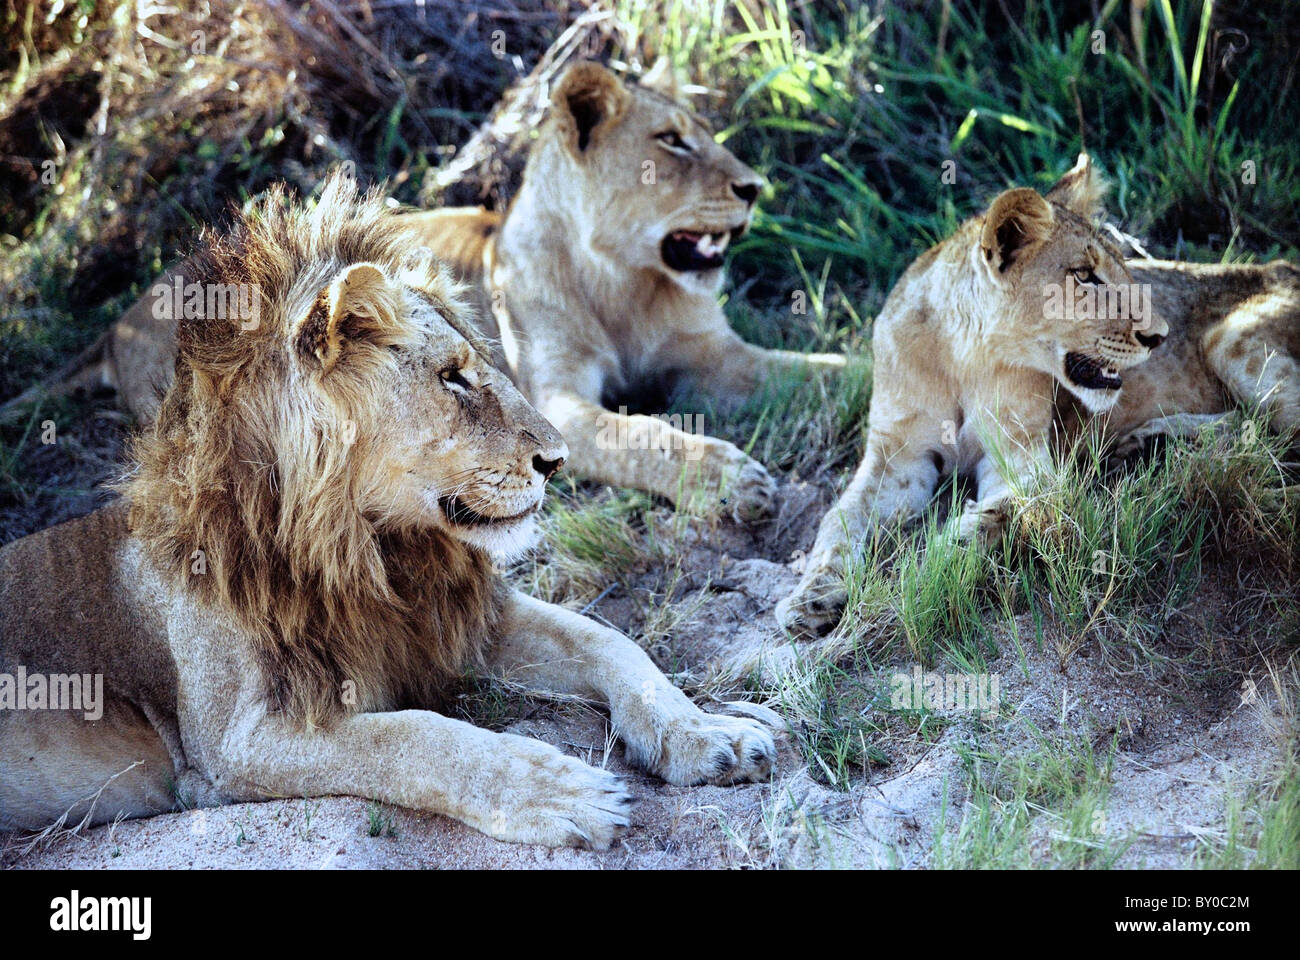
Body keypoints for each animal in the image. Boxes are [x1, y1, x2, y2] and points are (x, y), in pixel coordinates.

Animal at [0, 174, 769, 842]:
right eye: (453, 377)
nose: (557, 459)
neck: (373, 550)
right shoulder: (232, 742)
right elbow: (417, 736)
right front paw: (560, 792)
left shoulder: (456, 621)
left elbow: (609, 640)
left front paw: (706, 732)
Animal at [774, 153, 1294, 634]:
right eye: (1084, 275)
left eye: (1126, 269)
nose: (1160, 336)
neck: (968, 353)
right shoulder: (896, 456)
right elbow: (837, 520)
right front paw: (811, 597)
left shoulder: (1022, 454)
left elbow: (1007, 511)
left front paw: (932, 561)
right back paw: (1144, 445)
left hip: (1233, 340)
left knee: (1273, 439)